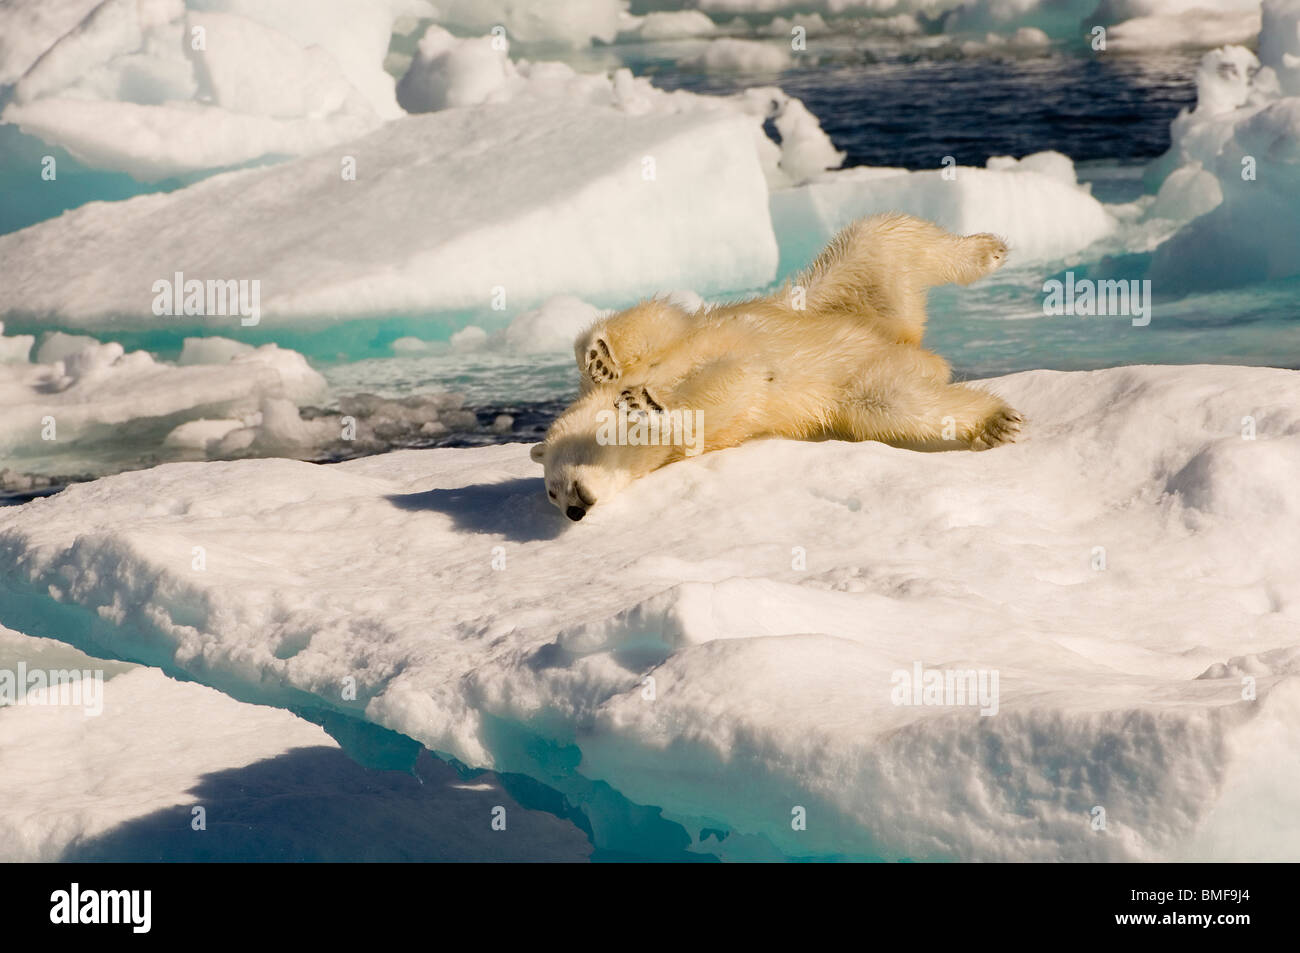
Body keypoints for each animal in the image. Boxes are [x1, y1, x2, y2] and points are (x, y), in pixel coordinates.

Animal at [533, 211, 1019, 520]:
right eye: (550, 495)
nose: (574, 511)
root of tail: (911, 346)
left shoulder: (678, 339)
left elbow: (655, 322)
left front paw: (610, 369)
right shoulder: (708, 438)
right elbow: (727, 400)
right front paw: (647, 404)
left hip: (829, 299)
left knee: (880, 239)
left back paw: (989, 250)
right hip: (860, 376)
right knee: (896, 404)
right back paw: (995, 422)